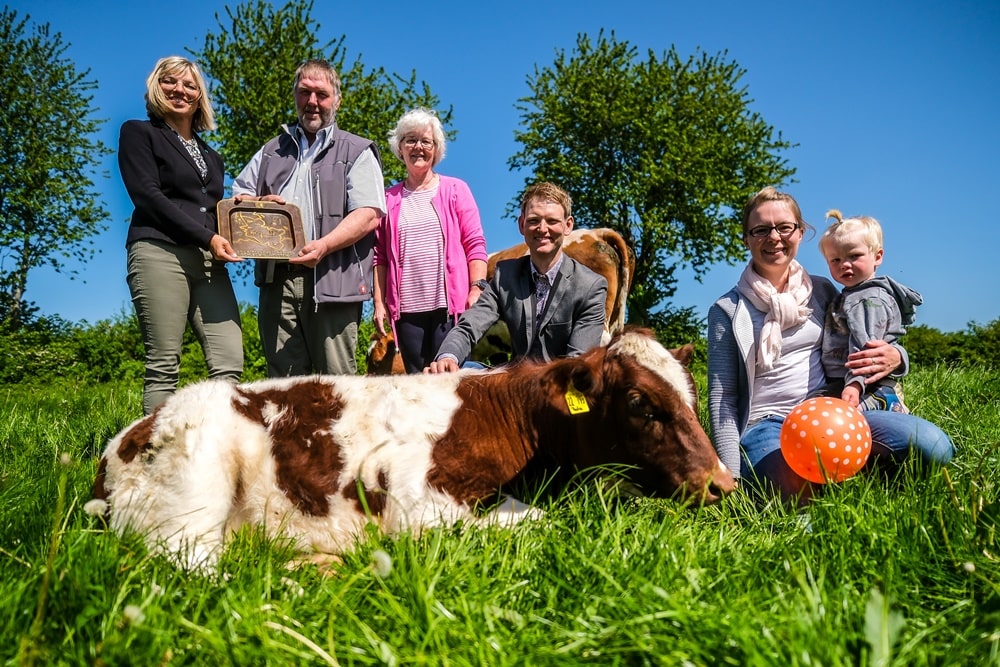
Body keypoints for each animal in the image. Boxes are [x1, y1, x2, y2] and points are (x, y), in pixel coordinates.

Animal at [88, 328, 736, 568]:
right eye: (640, 403)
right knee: (196, 572)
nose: (722, 483)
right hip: (194, 494)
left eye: (692, 395)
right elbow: (538, 522)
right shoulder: (409, 494)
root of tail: (123, 439)